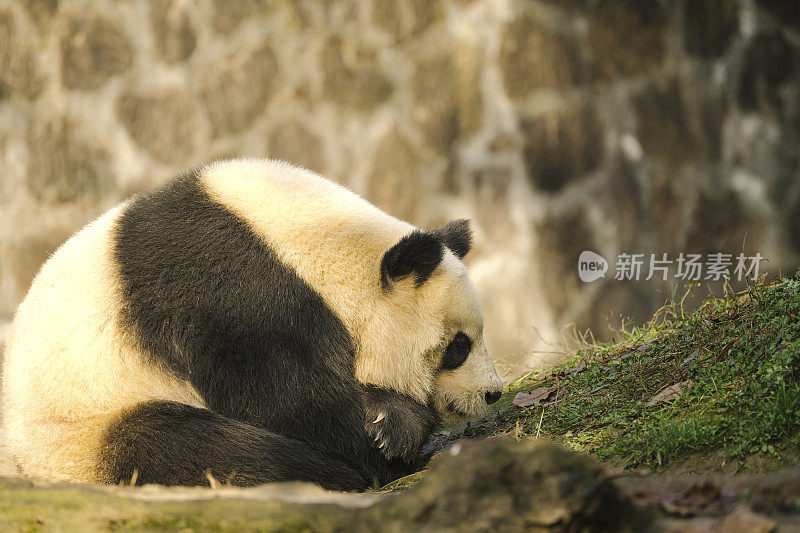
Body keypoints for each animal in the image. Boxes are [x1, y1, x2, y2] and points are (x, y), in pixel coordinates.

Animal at [0, 158, 504, 490]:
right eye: (457, 346)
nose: (492, 393)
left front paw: (393, 426)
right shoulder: (231, 298)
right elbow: (287, 401)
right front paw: (390, 431)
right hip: (78, 437)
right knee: (173, 445)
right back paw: (323, 476)